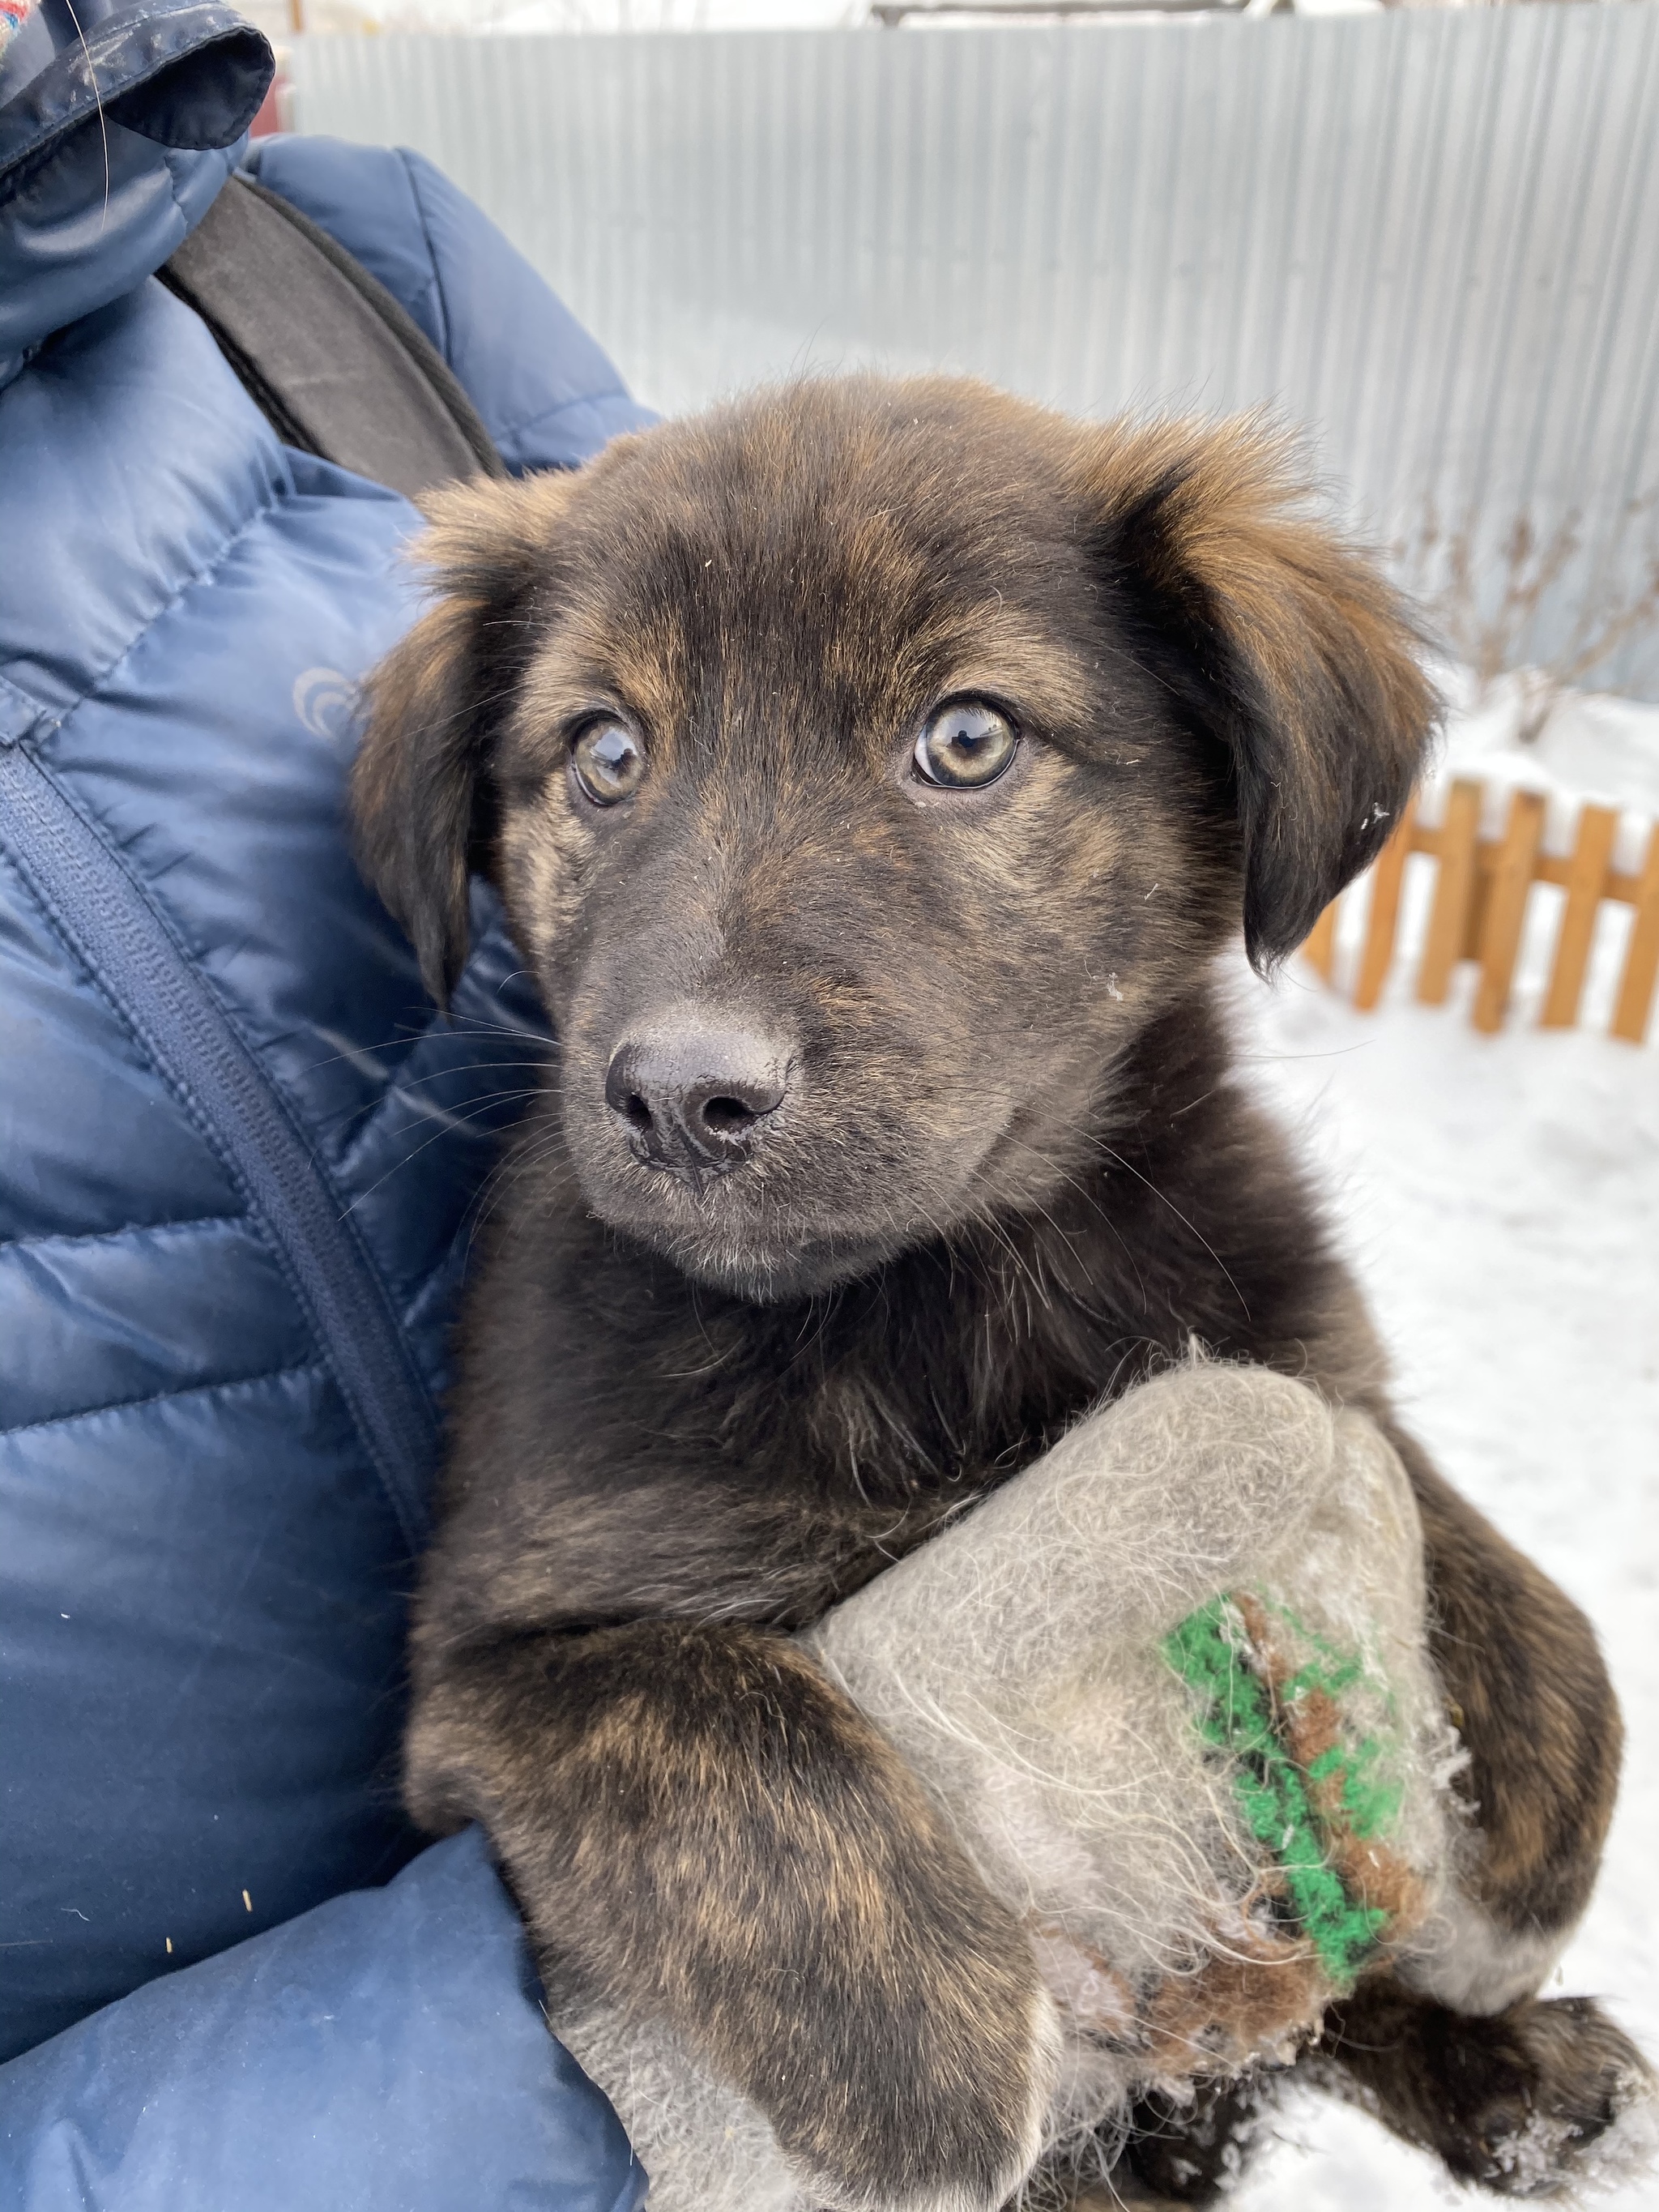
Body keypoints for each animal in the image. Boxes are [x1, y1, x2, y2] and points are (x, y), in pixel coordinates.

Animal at [358, 371, 1645, 2203]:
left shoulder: (1291, 1351)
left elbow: (1457, 1525)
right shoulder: (486, 1668)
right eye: (604, 753)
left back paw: (1516, 2071)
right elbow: (704, 1720)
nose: (681, 1095)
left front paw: (1542, 1810)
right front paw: (926, 2042)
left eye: (966, 739)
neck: (952, 1288)